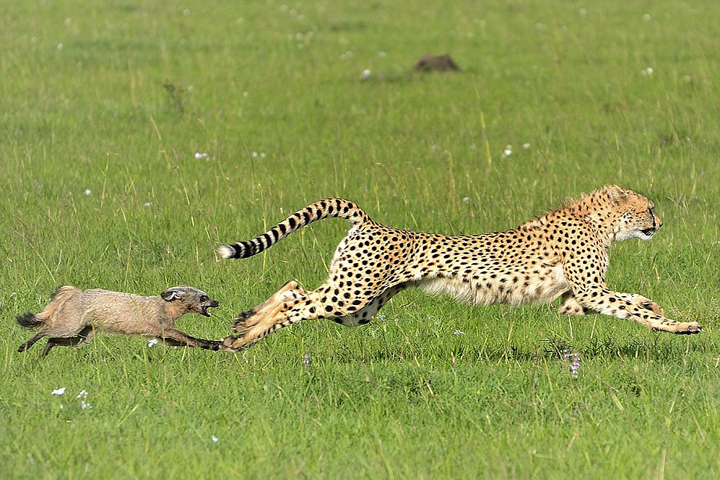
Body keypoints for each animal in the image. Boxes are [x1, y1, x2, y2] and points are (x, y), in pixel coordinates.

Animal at [217, 184, 700, 348]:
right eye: (649, 208)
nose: (660, 222)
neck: (597, 220)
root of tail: (371, 221)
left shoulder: (573, 298)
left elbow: (628, 300)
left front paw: (655, 307)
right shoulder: (588, 289)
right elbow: (628, 307)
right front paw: (681, 326)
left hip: (361, 306)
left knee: (294, 287)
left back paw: (242, 327)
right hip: (352, 295)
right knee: (296, 302)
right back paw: (242, 338)